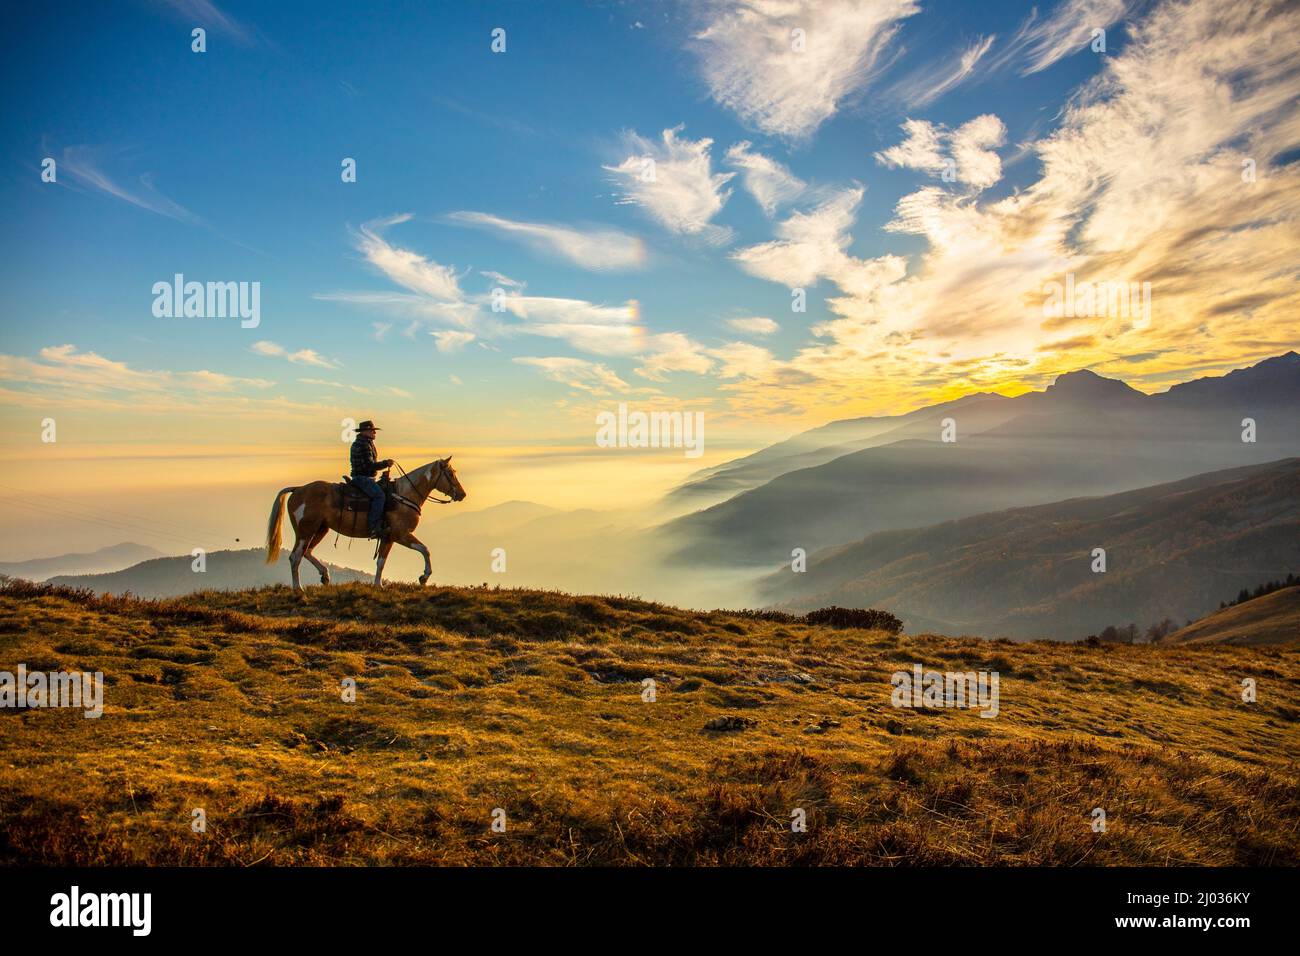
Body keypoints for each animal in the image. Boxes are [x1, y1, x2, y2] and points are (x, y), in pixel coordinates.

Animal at [263, 457, 467, 590]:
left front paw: (378, 585)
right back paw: (298, 589)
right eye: (450, 473)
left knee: (307, 552)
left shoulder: (388, 537)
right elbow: (424, 550)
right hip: (306, 531)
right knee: (295, 556)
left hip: (321, 529)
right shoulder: (399, 535)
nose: (462, 494)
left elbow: (381, 562)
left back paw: (325, 576)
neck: (404, 495)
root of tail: (298, 489)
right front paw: (423, 577)